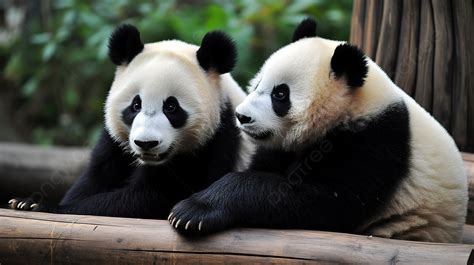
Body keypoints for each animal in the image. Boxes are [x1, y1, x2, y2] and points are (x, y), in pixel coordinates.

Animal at [9, 23, 252, 218]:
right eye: (136, 105)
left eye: (171, 107)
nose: (146, 143)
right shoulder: (115, 143)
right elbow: (95, 177)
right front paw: (25, 202)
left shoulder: (213, 145)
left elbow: (152, 198)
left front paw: (44, 206)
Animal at [168, 18, 468, 241]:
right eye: (258, 84)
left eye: (280, 94)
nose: (242, 117)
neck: (353, 106)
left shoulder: (376, 139)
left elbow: (324, 203)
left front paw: (192, 212)